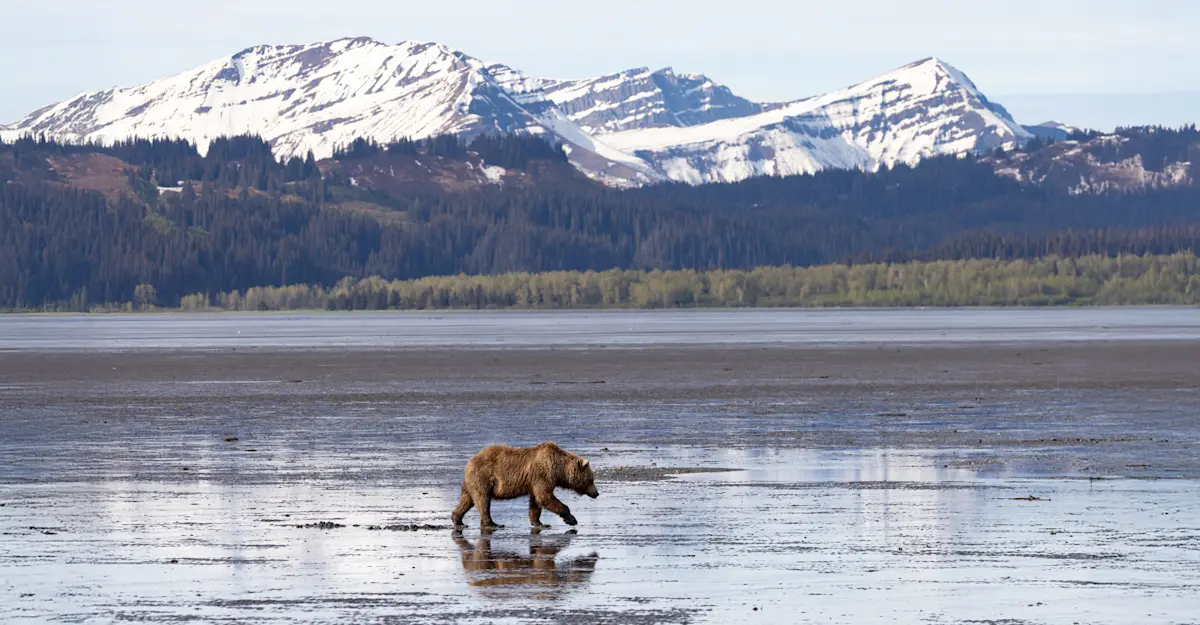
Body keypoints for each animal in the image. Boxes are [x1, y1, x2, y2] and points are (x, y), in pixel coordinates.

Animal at [451, 442, 599, 530]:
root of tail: (469, 462)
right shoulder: (543, 475)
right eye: (591, 479)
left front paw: (540, 523)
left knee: (467, 500)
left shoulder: (534, 482)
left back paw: (458, 521)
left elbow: (536, 502)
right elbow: (545, 497)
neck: (558, 469)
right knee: (483, 500)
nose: (596, 493)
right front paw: (571, 519)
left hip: (471, 483)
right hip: (483, 477)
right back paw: (493, 524)